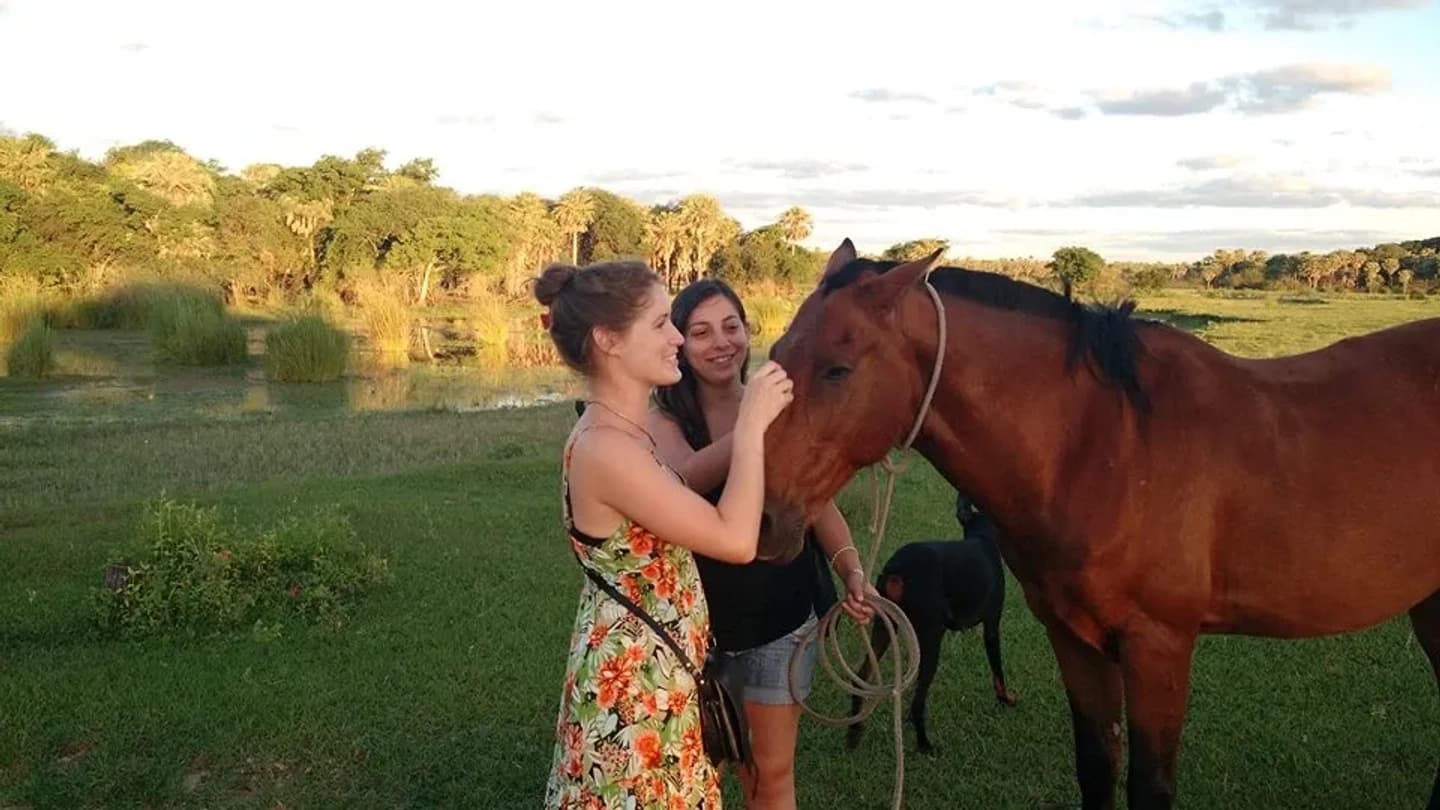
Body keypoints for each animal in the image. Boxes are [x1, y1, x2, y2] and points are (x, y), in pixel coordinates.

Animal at [757, 238, 1440, 810]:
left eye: (838, 368)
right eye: (776, 355)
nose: (761, 520)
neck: (1106, 444)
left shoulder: (1159, 647)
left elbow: (1150, 787)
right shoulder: (1075, 639)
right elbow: (1097, 767)